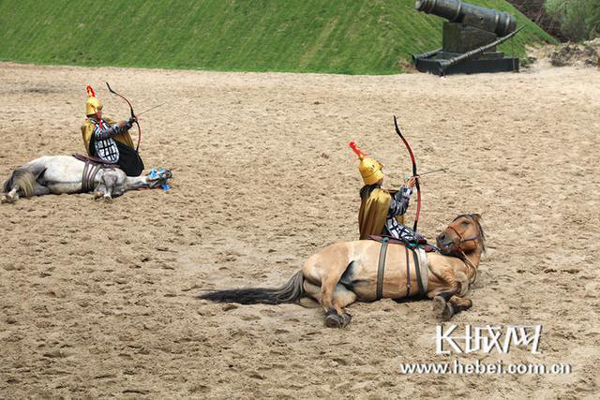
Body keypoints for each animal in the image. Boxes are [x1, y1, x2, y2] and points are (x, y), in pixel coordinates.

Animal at [2, 154, 171, 203]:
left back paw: (12, 197)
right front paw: (106, 197)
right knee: (16, 186)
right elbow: (109, 188)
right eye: (159, 172)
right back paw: (8, 196)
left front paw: (99, 195)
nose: (169, 172)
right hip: (33, 171)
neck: (126, 181)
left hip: (40, 189)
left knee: (21, 190)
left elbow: (103, 190)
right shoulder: (108, 176)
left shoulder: (103, 184)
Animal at [199, 214, 486, 326]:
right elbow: (455, 287)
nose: (441, 238)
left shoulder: (435, 288)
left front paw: (448, 307)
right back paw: (335, 319)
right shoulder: (437, 267)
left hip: (346, 293)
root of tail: (303, 268)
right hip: (334, 271)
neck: (464, 263)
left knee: (331, 301)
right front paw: (444, 305)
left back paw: (341, 315)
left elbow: (464, 299)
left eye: (464, 222)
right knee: (326, 299)